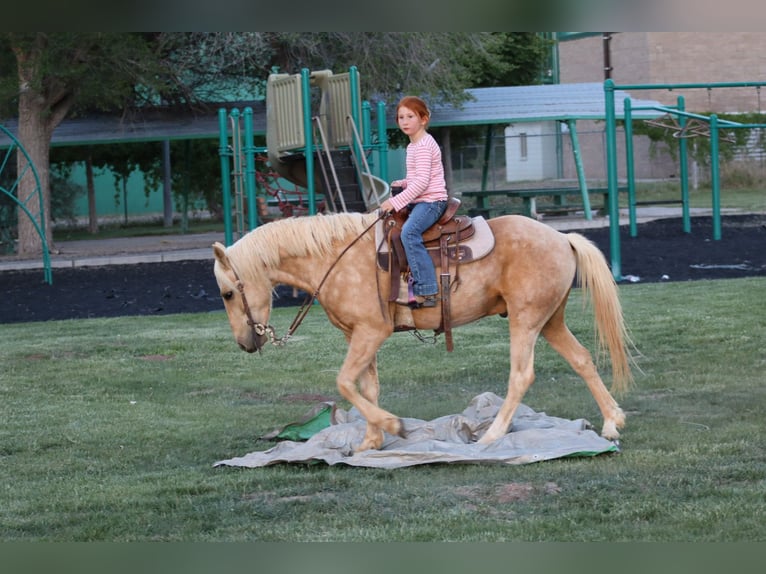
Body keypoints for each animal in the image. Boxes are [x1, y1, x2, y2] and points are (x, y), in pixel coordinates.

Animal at [212, 211, 633, 452]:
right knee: (582, 360)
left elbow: (345, 382)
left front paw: (392, 426)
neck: (337, 257)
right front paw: (370, 441)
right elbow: (367, 386)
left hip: (526, 319)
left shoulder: (370, 333)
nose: (245, 343)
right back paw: (612, 422)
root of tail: (563, 238)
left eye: (228, 292)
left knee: (521, 375)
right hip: (550, 320)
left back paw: (493, 436)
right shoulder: (359, 336)